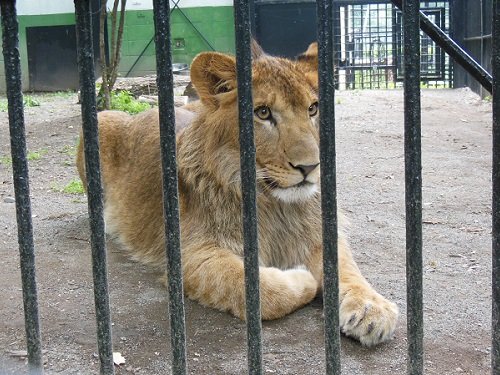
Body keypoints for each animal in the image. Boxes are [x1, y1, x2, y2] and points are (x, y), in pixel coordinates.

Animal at [77, 48, 398, 348]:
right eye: (263, 113)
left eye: (313, 108)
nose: (310, 167)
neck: (275, 205)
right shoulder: (191, 254)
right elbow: (262, 290)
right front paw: (302, 276)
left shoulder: (317, 234)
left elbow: (348, 268)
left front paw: (371, 308)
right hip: (102, 120)